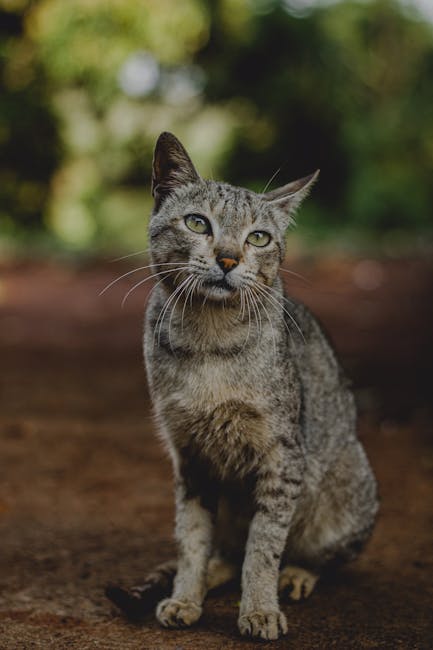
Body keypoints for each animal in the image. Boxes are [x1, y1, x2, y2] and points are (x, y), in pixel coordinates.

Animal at [107, 130, 378, 636]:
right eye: (197, 223)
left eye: (259, 238)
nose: (229, 258)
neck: (210, 340)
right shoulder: (189, 455)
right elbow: (191, 539)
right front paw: (185, 595)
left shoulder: (283, 455)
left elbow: (264, 545)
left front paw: (259, 609)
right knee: (227, 553)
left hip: (348, 489)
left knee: (313, 555)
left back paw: (296, 575)